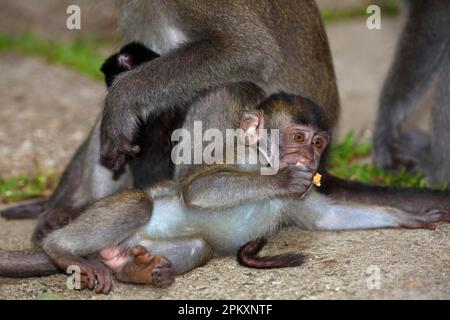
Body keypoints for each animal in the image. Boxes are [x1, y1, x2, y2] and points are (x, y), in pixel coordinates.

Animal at [1, 94, 448, 294]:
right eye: (298, 137)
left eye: (319, 142)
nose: (309, 156)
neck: (264, 160)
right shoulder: (242, 156)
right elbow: (198, 186)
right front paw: (283, 179)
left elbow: (327, 218)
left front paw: (411, 217)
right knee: (139, 201)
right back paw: (63, 251)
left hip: (143, 247)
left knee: (197, 246)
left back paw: (136, 269)